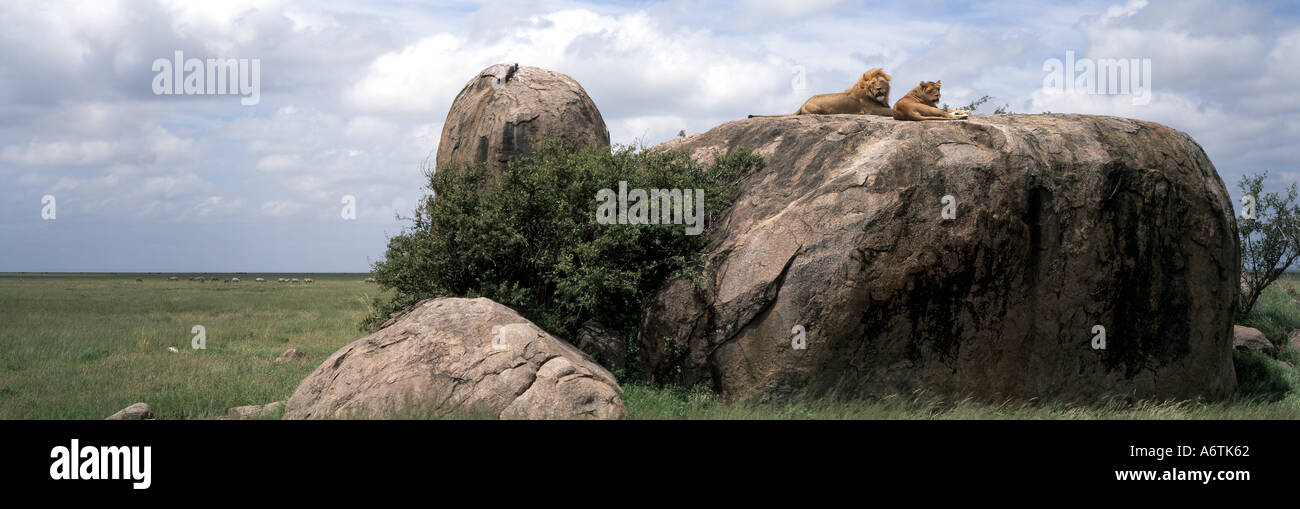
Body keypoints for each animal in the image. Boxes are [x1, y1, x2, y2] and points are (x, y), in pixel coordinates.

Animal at [754, 67, 894, 117]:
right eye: (873, 83)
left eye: (881, 81)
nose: (879, 89)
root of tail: (803, 103)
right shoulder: (872, 110)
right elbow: (891, 111)